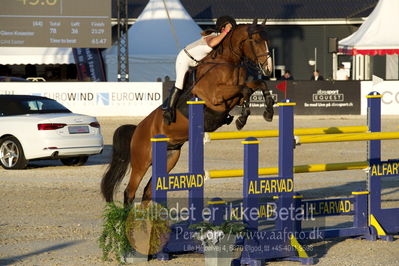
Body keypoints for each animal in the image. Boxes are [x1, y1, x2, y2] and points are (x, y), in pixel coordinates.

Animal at [101, 19, 276, 206]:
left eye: (267, 40)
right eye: (256, 40)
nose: (268, 69)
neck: (227, 62)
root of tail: (137, 130)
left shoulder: (233, 96)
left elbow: (256, 86)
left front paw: (268, 112)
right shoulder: (215, 96)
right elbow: (245, 90)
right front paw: (242, 118)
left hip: (169, 158)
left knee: (148, 192)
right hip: (142, 162)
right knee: (130, 192)